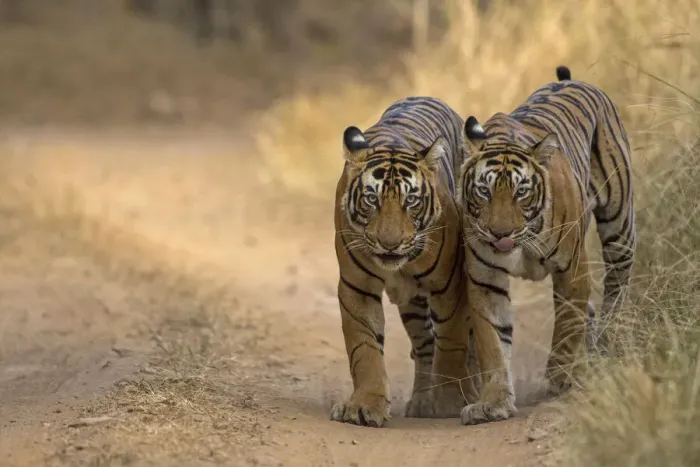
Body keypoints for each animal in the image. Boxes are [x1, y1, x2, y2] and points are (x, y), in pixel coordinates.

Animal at [331, 96, 480, 427]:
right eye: (371, 199)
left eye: (410, 200)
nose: (390, 244)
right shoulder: (356, 287)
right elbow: (364, 347)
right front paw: (364, 406)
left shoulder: (450, 284)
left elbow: (453, 341)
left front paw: (450, 402)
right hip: (412, 304)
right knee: (424, 344)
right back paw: (423, 400)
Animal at [456, 66, 636, 425]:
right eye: (484, 191)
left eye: (521, 192)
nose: (500, 233)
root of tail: (571, 80)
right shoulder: (485, 280)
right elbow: (492, 342)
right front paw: (493, 403)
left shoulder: (572, 268)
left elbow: (566, 325)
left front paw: (560, 376)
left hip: (619, 225)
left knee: (616, 286)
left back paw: (608, 341)